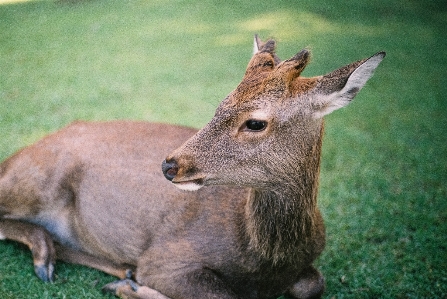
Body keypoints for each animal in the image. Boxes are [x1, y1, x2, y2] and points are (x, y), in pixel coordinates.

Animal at [0, 35, 384, 299]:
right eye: (219, 105)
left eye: (255, 122)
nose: (170, 164)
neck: (264, 261)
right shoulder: (166, 258)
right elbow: (222, 295)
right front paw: (132, 289)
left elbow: (313, 284)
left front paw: (127, 283)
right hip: (36, 180)